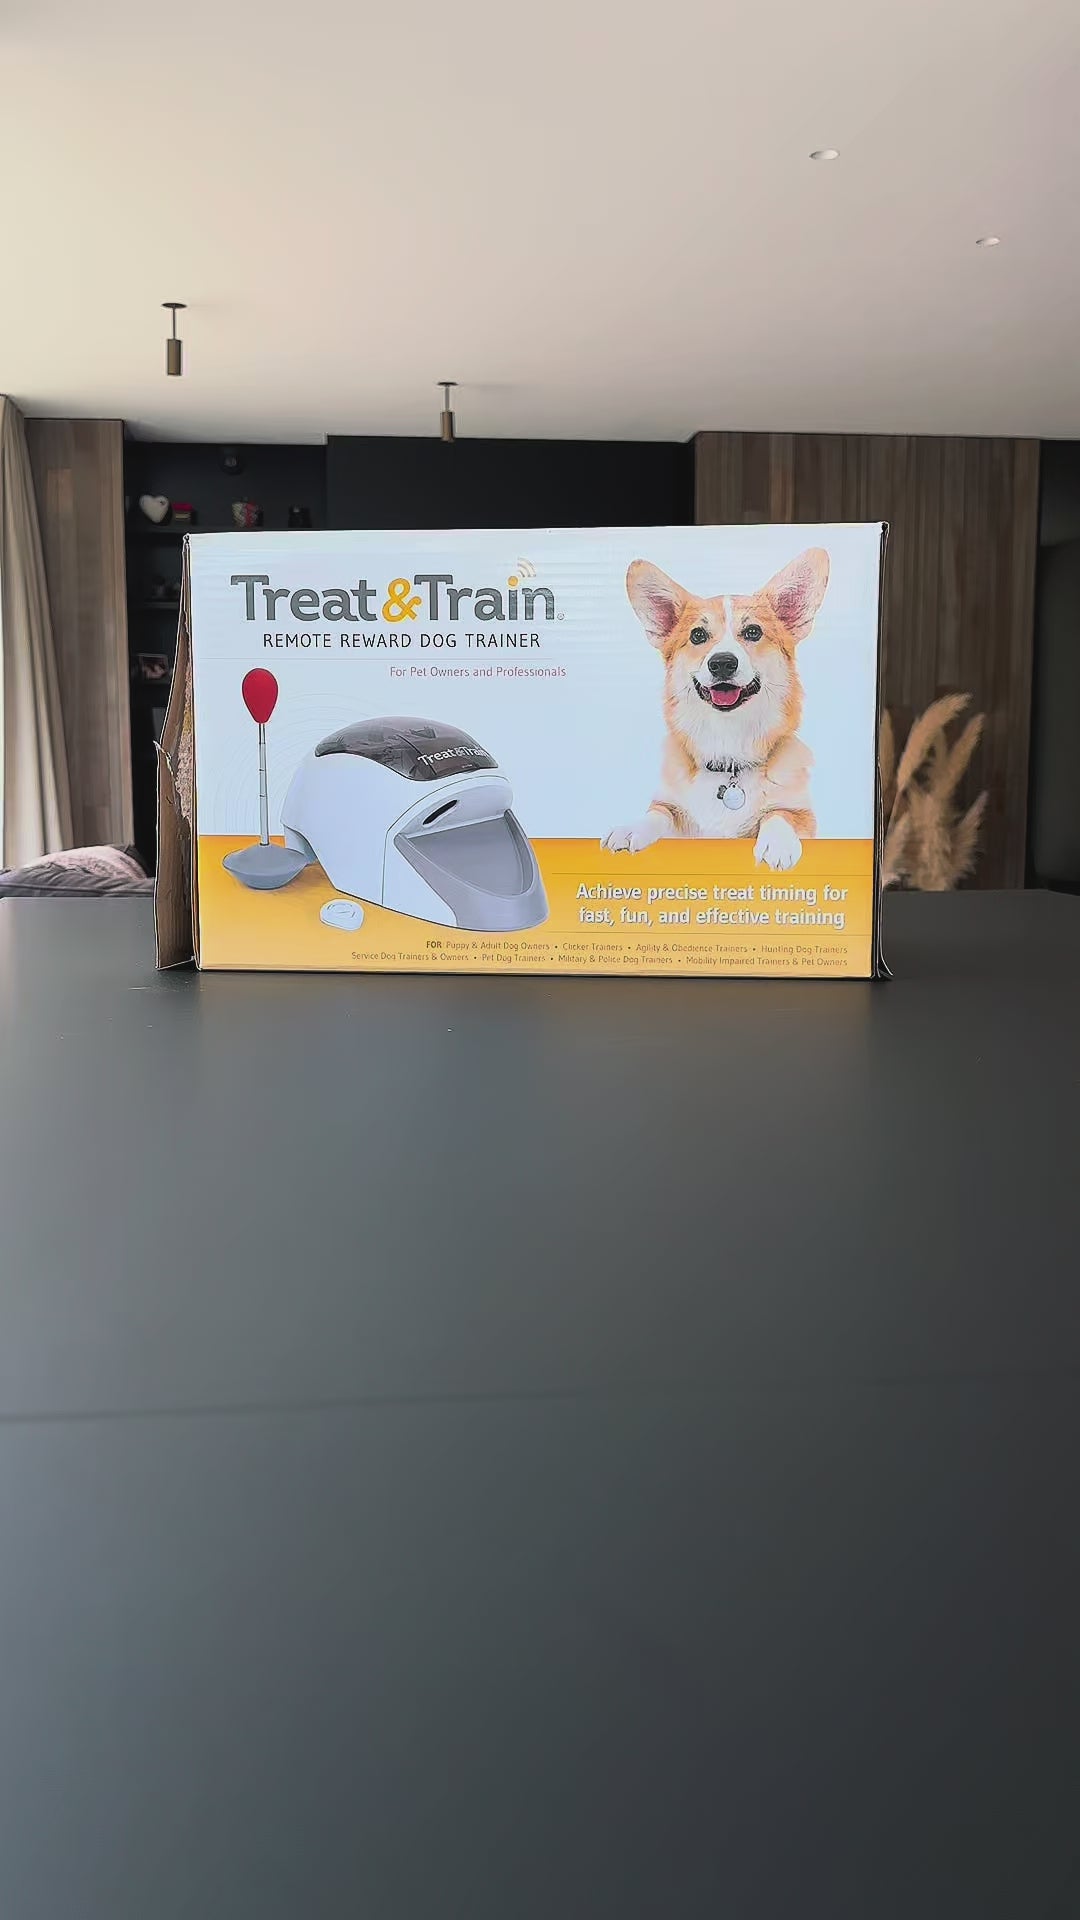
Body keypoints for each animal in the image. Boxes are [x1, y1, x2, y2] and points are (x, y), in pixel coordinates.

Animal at [603, 547, 830, 871]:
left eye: (753, 632)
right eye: (697, 635)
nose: (722, 663)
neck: (728, 748)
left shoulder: (802, 813)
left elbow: (779, 815)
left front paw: (777, 844)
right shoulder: (670, 805)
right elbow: (657, 814)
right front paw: (631, 828)